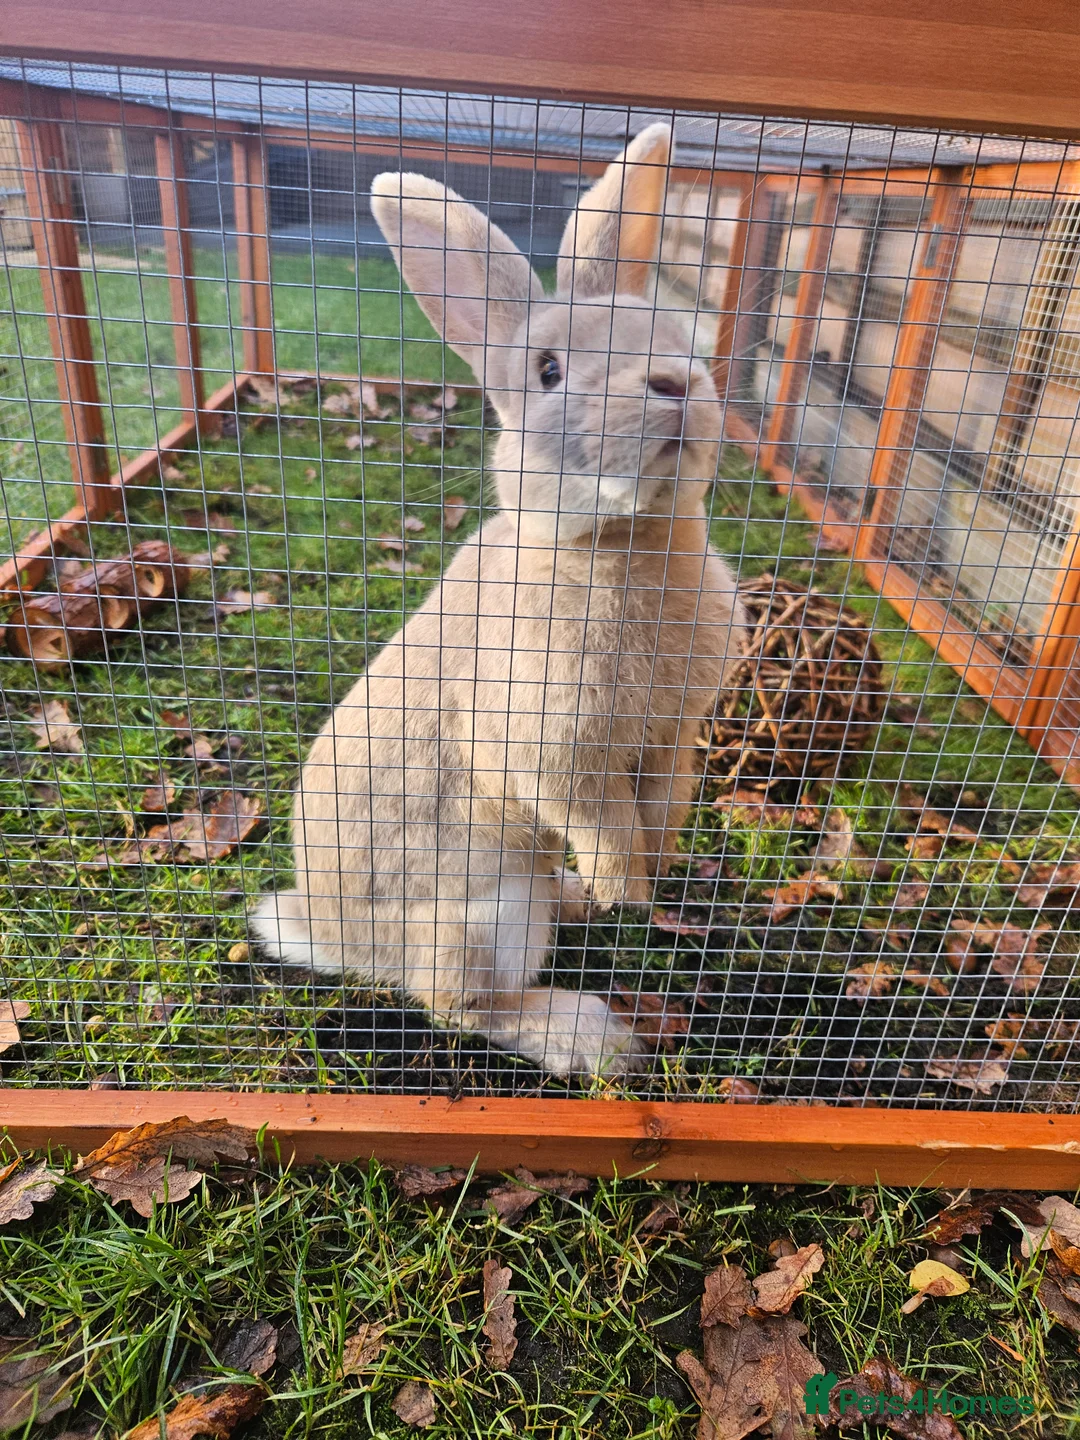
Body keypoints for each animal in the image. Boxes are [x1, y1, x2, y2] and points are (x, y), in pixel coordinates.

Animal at [250, 123, 747, 1078]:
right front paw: (630, 891)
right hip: (489, 914)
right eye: (549, 371)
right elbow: (606, 824)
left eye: (678, 334)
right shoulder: (556, 754)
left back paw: (581, 906)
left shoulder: (670, 736)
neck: (618, 543)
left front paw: (652, 875)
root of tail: (329, 935)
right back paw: (593, 1034)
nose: (674, 383)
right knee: (459, 1004)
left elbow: (661, 806)